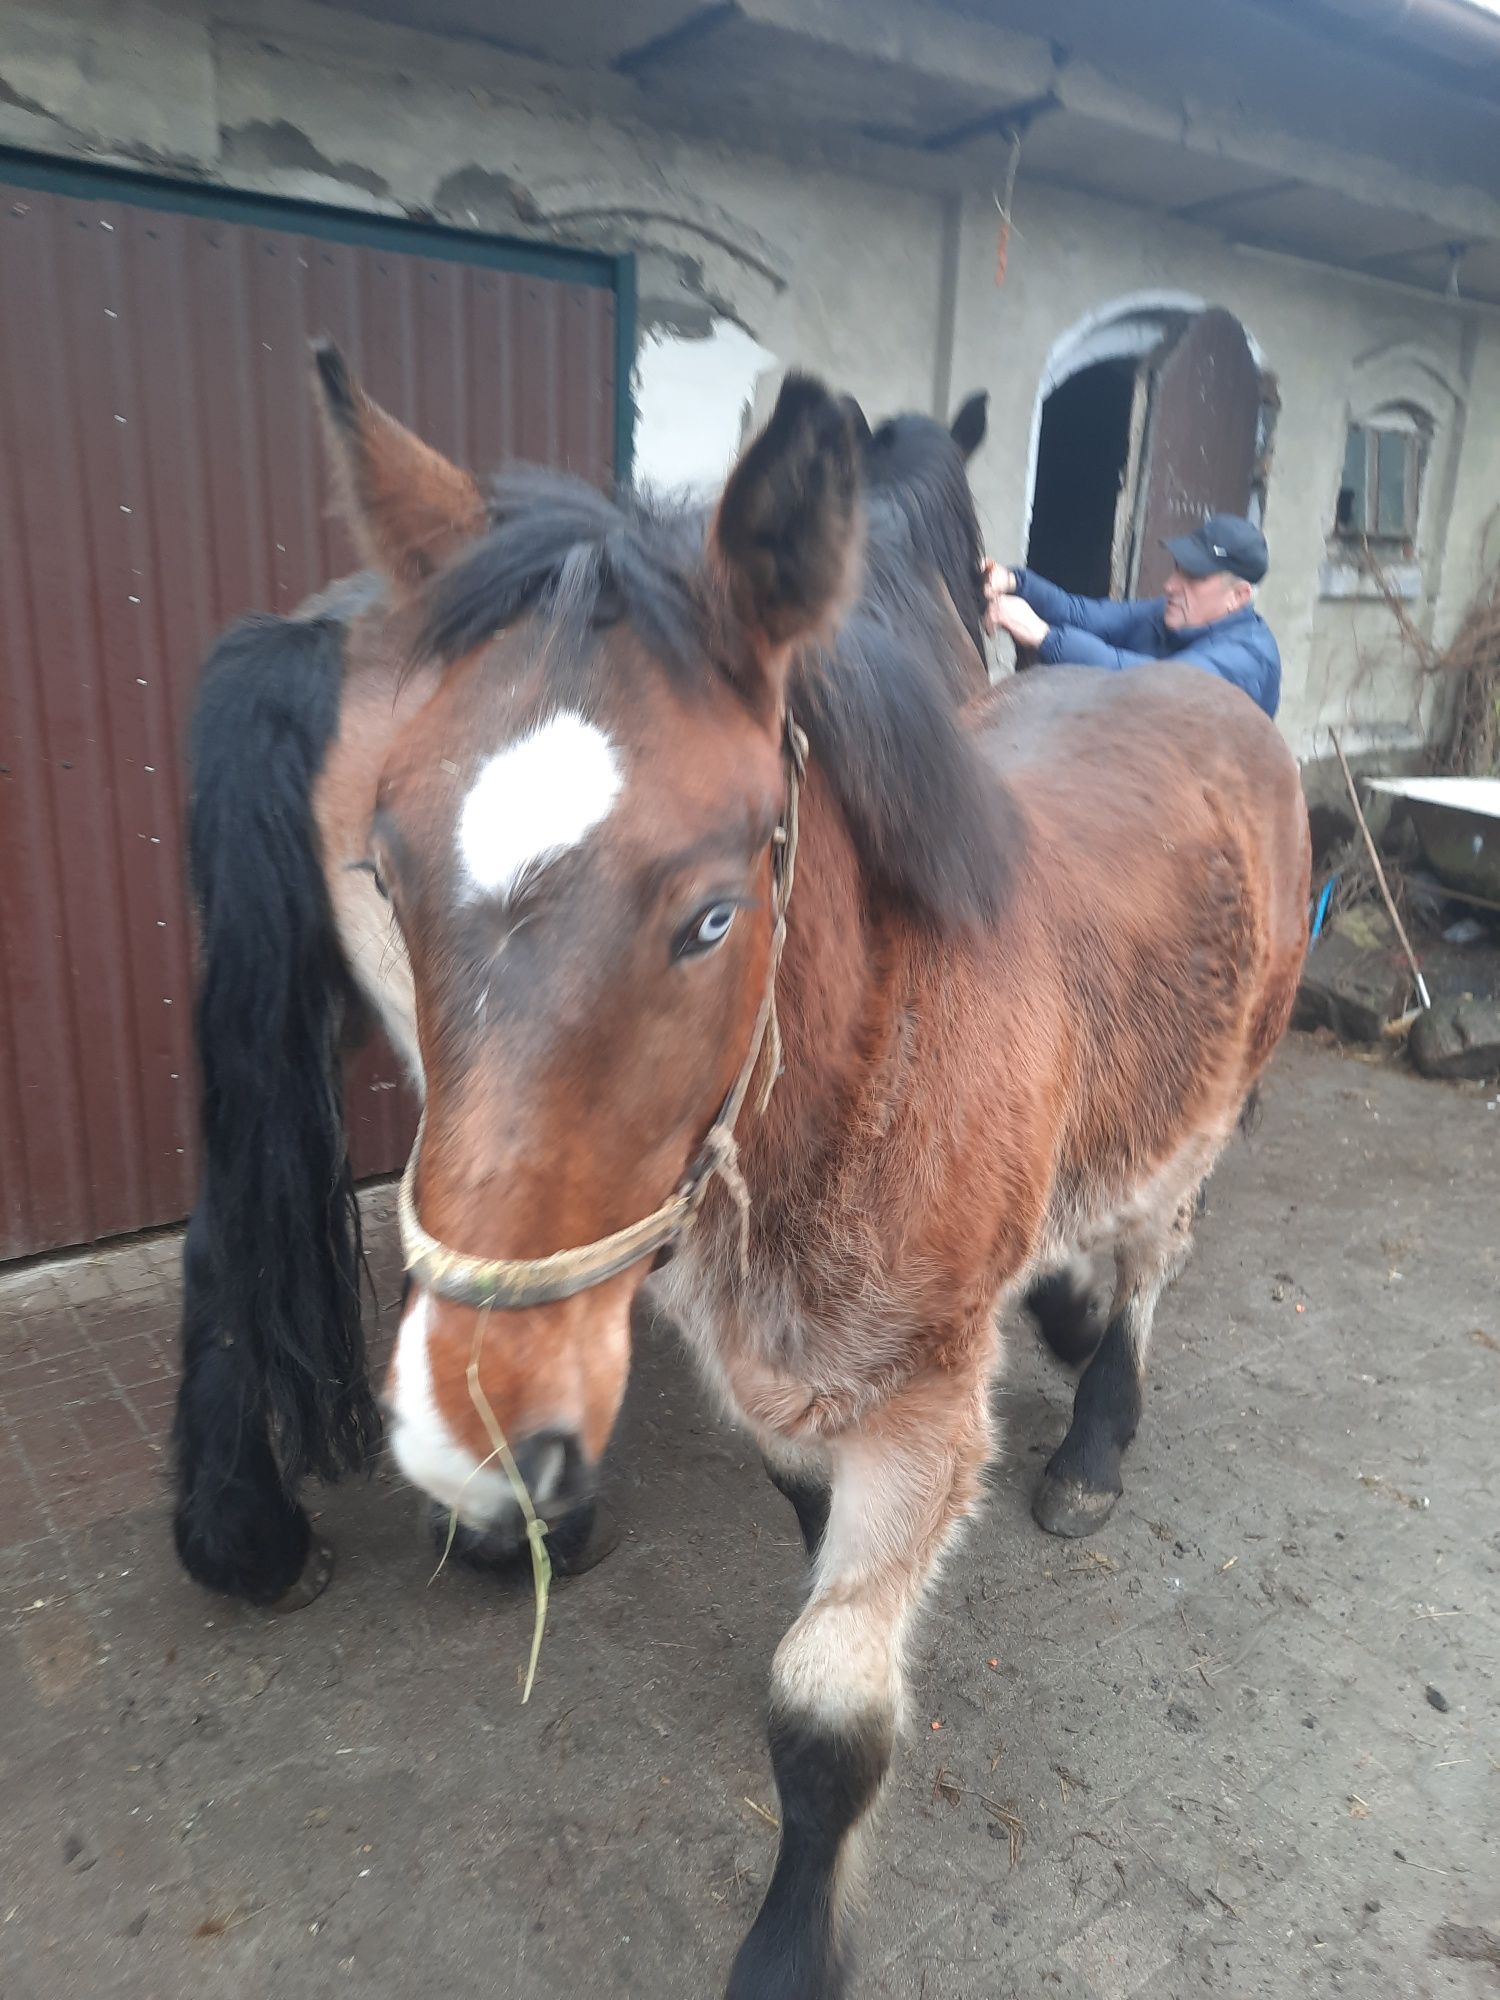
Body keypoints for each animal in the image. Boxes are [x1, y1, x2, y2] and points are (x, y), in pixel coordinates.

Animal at [170, 352, 1312, 1992]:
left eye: (713, 914)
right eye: (383, 874)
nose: (475, 1422)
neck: (869, 1062)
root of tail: (1202, 688)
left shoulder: (922, 1402)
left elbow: (828, 1716)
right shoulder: (771, 1367)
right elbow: (806, 1535)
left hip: (1203, 1104)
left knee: (1155, 1255)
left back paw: (1096, 1434)